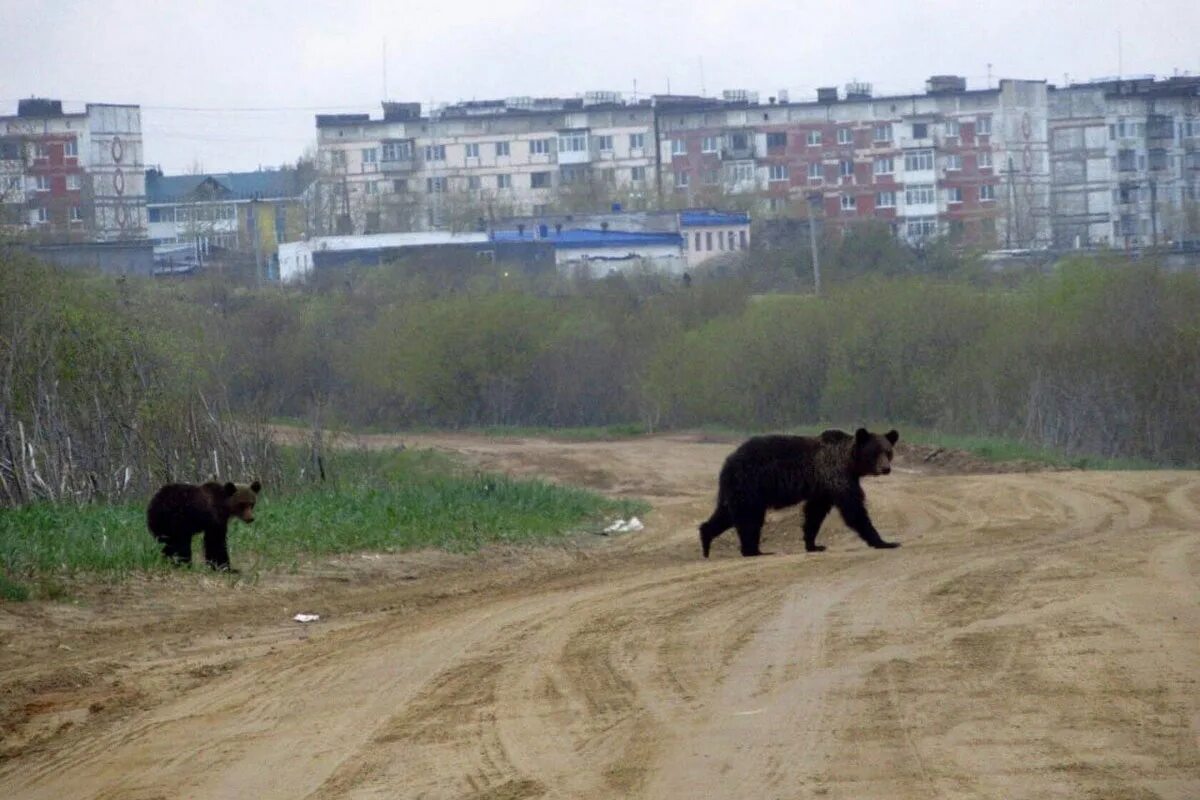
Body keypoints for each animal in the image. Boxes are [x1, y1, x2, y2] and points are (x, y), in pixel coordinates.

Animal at [696, 431, 902, 556]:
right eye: (875, 452)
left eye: (888, 452)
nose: (886, 468)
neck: (849, 463)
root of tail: (727, 462)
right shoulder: (835, 476)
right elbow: (854, 510)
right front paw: (885, 541)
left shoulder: (822, 488)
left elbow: (814, 514)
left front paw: (814, 545)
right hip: (750, 484)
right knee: (749, 518)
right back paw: (754, 550)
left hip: (738, 489)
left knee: (726, 514)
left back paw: (706, 539)